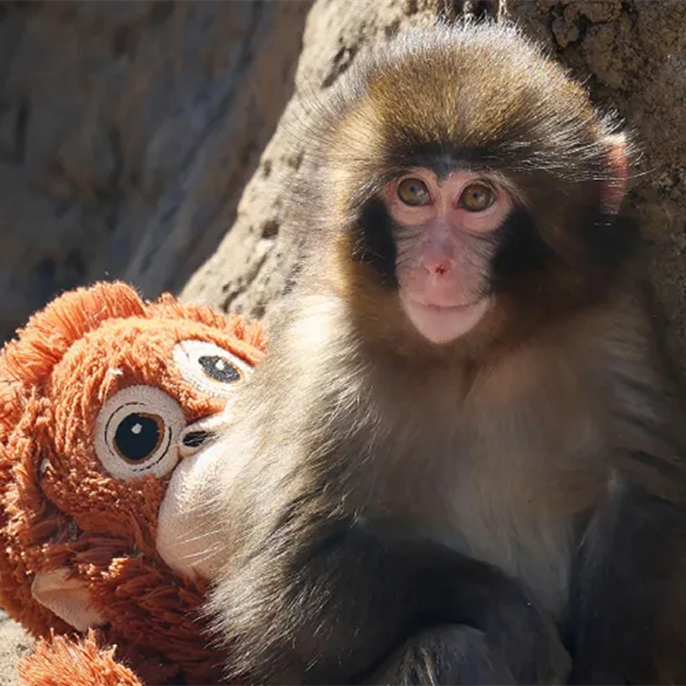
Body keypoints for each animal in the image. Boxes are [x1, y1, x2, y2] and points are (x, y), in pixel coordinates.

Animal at [184, 19, 686, 686]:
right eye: (414, 191)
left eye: (476, 199)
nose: (436, 264)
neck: (471, 357)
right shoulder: (322, 362)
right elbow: (281, 587)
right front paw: (515, 617)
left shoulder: (613, 324)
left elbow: (645, 502)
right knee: (450, 649)